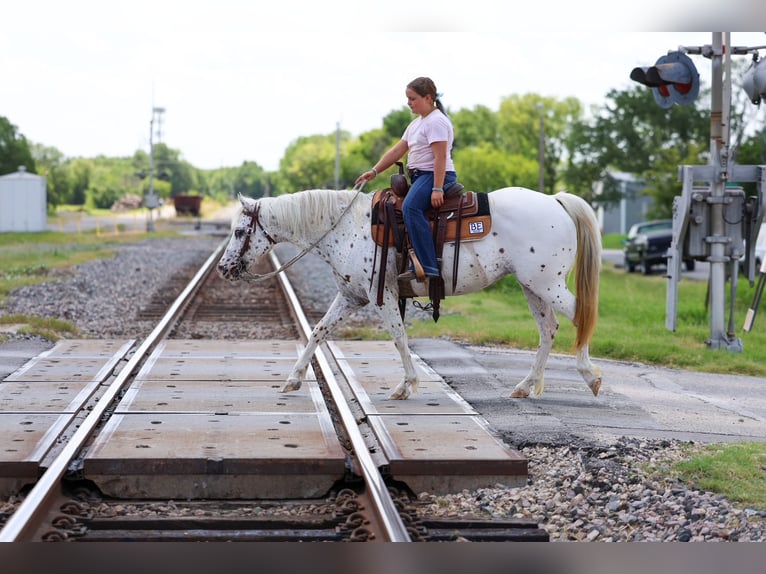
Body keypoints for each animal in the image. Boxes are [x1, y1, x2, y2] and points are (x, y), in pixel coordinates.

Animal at [216, 186, 602, 400]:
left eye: (239, 232)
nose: (223, 269)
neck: (343, 227)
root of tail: (555, 200)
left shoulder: (381, 294)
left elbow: (399, 337)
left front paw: (406, 385)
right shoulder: (350, 296)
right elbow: (317, 332)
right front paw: (292, 379)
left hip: (548, 284)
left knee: (581, 317)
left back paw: (591, 376)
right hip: (532, 286)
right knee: (548, 330)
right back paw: (526, 385)